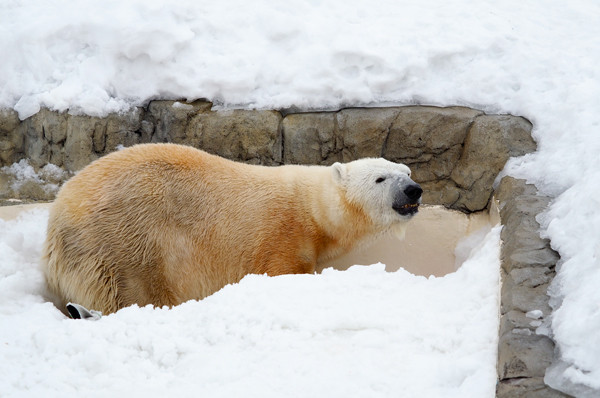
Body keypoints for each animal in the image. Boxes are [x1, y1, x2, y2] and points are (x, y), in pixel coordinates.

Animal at [42, 143, 422, 314]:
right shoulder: (282, 235)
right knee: (132, 292)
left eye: (407, 171)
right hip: (126, 242)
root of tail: (56, 223)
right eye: (380, 178)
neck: (312, 208)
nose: (413, 190)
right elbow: (283, 272)